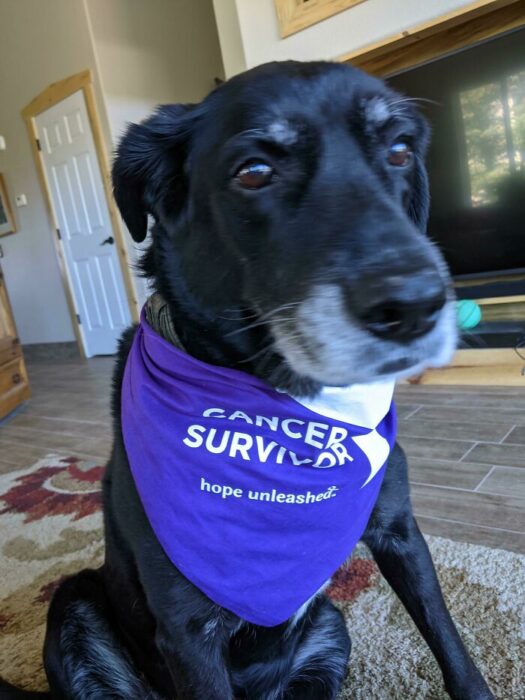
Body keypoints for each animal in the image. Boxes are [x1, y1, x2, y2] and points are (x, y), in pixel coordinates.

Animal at [0, 61, 494, 700]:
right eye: (254, 171)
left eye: (400, 151)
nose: (415, 306)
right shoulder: (188, 631)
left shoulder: (400, 534)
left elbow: (451, 645)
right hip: (74, 607)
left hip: (331, 627)